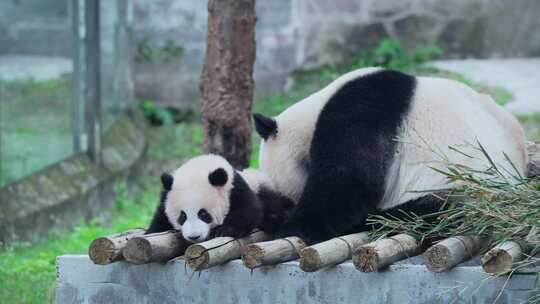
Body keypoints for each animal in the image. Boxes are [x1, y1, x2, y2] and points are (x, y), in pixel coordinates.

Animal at [146, 154, 294, 242]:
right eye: (182, 216)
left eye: (203, 214)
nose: (194, 237)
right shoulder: (165, 196)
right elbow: (160, 219)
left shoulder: (234, 188)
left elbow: (249, 210)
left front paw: (222, 230)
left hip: (261, 186)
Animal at [253, 67, 528, 242]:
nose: (284, 205)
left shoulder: (360, 112)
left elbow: (347, 186)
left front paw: (289, 224)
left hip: (462, 191)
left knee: (425, 212)